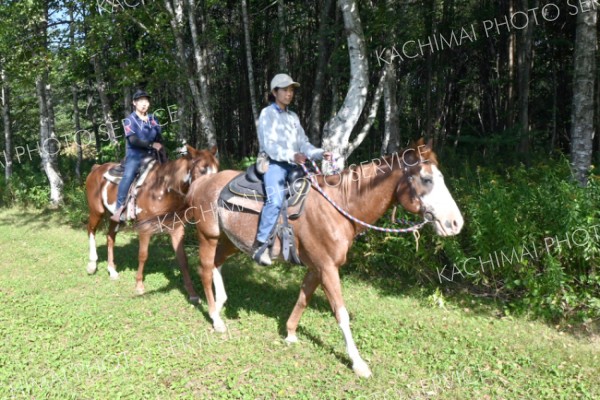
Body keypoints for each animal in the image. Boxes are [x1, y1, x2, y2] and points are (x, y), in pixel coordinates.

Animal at [83, 144, 217, 300]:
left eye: (217, 169)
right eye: (202, 170)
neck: (163, 188)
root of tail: (96, 168)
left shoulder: (176, 229)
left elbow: (183, 259)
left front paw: (192, 293)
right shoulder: (145, 228)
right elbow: (143, 255)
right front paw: (139, 285)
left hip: (114, 217)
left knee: (110, 237)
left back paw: (112, 271)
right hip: (96, 211)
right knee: (91, 230)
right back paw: (92, 265)